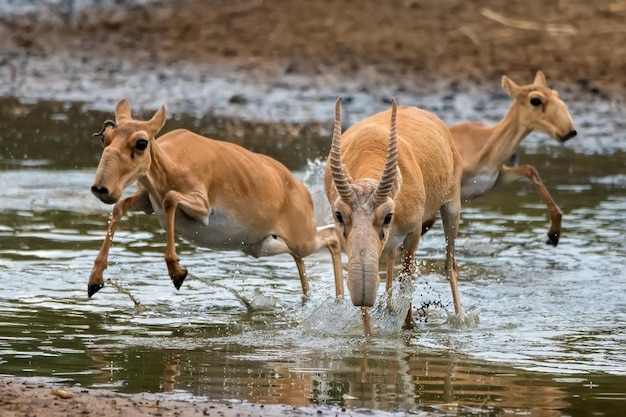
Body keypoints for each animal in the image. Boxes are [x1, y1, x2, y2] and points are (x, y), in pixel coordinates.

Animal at [86, 99, 342, 298]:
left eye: (141, 142)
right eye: (105, 138)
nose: (101, 188)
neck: (170, 164)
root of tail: (302, 189)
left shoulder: (201, 207)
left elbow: (170, 198)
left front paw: (177, 272)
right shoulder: (147, 201)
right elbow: (119, 207)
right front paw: (94, 279)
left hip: (302, 238)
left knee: (331, 236)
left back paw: (338, 299)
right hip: (261, 246)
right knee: (305, 253)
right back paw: (310, 298)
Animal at [324, 96, 460, 334]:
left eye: (388, 216)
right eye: (339, 215)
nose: (362, 293)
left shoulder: (414, 230)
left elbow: (406, 278)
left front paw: (408, 325)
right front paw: (369, 336)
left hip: (452, 204)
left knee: (449, 265)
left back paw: (461, 320)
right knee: (390, 256)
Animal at [420, 71, 576, 244]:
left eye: (556, 94)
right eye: (535, 100)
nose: (570, 131)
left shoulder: (494, 179)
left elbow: (529, 169)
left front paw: (554, 232)